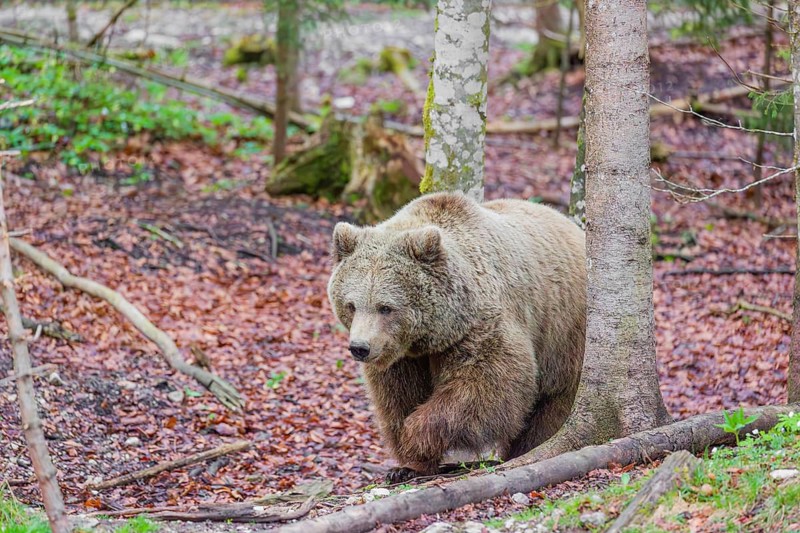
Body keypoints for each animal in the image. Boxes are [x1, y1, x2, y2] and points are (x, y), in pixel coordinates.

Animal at [327, 191, 586, 481]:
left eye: (385, 307)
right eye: (351, 305)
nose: (360, 348)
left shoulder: (479, 326)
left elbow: (484, 386)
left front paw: (415, 437)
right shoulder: (402, 356)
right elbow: (398, 395)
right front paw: (406, 464)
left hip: (563, 333)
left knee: (555, 403)